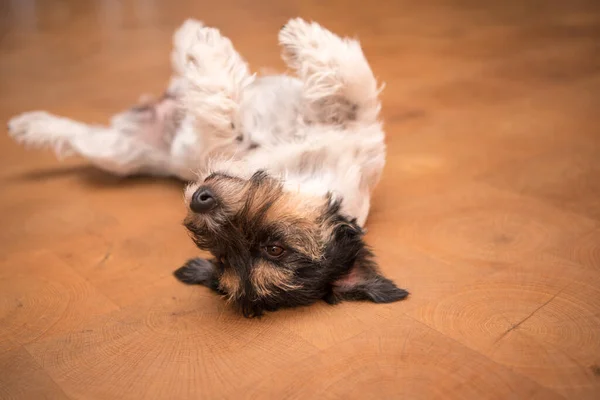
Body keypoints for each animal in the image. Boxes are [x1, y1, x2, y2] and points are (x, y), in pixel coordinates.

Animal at [8, 17, 408, 318]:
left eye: (273, 249)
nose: (199, 199)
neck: (302, 171)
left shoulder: (222, 144)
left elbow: (225, 108)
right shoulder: (352, 126)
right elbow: (351, 78)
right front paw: (296, 36)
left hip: (115, 153)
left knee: (81, 133)